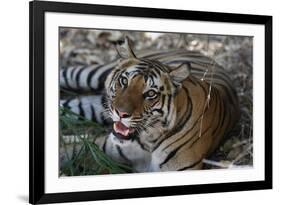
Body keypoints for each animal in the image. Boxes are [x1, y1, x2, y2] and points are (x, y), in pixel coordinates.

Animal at [59, 37, 238, 172]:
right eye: (124, 81)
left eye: (151, 93)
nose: (120, 113)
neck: (149, 140)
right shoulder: (100, 147)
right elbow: (65, 153)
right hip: (93, 75)